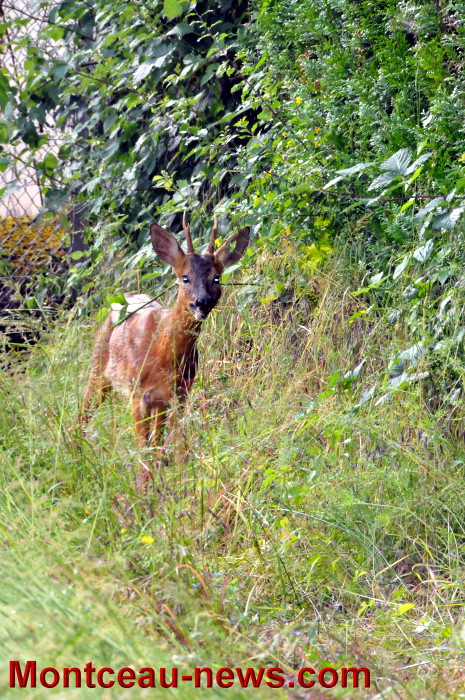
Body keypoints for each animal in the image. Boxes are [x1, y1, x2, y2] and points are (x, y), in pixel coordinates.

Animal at [81, 214, 250, 479]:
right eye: (185, 277)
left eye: (216, 278)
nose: (201, 302)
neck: (164, 356)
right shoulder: (137, 392)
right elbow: (144, 452)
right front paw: (144, 486)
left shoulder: (179, 395)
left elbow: (178, 450)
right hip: (99, 368)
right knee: (82, 414)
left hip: (158, 403)